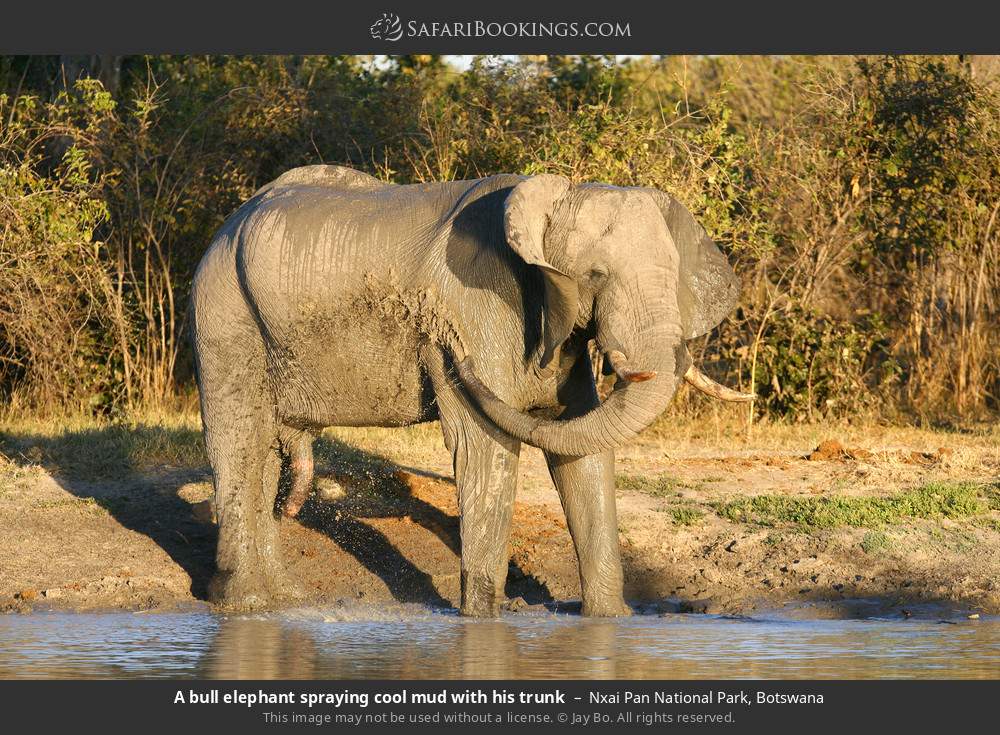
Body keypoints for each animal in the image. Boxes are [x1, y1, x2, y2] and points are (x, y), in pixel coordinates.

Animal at [190, 165, 752, 617]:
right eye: (595, 275)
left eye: (674, 279)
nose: (446, 351)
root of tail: (229, 223)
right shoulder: (480, 304)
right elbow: (486, 446)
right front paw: (482, 620)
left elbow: (581, 452)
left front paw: (611, 622)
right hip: (223, 311)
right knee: (239, 441)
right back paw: (245, 604)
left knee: (261, 453)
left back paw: (284, 601)